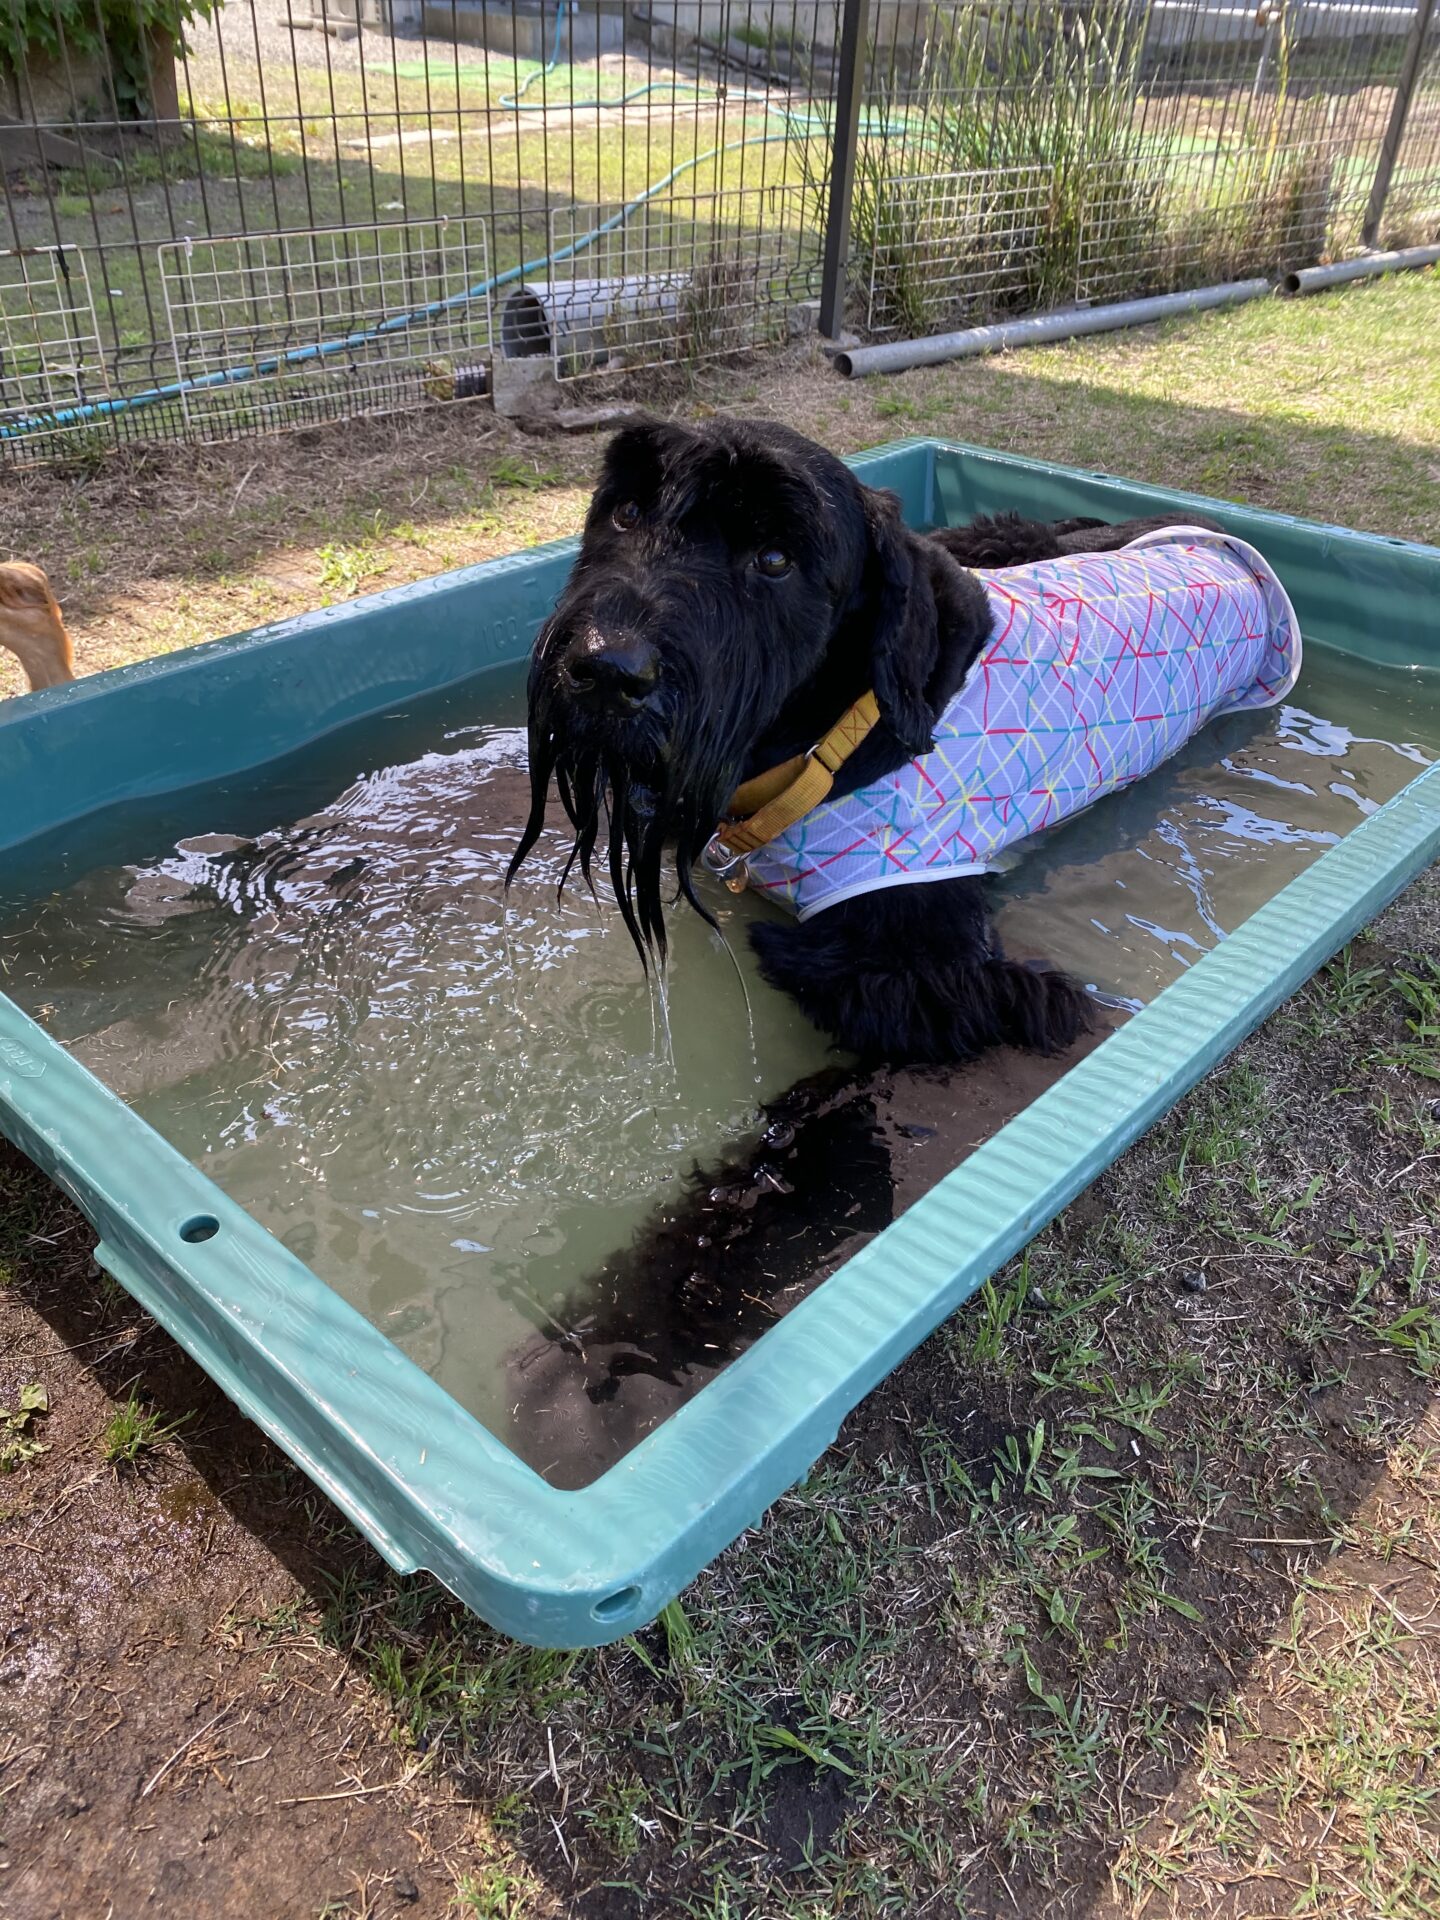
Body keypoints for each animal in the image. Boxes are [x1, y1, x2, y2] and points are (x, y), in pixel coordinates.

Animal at [508, 417, 1298, 1064]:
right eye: (626, 511)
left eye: (775, 559)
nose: (604, 670)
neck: (827, 737)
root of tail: (1216, 536)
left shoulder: (931, 968)